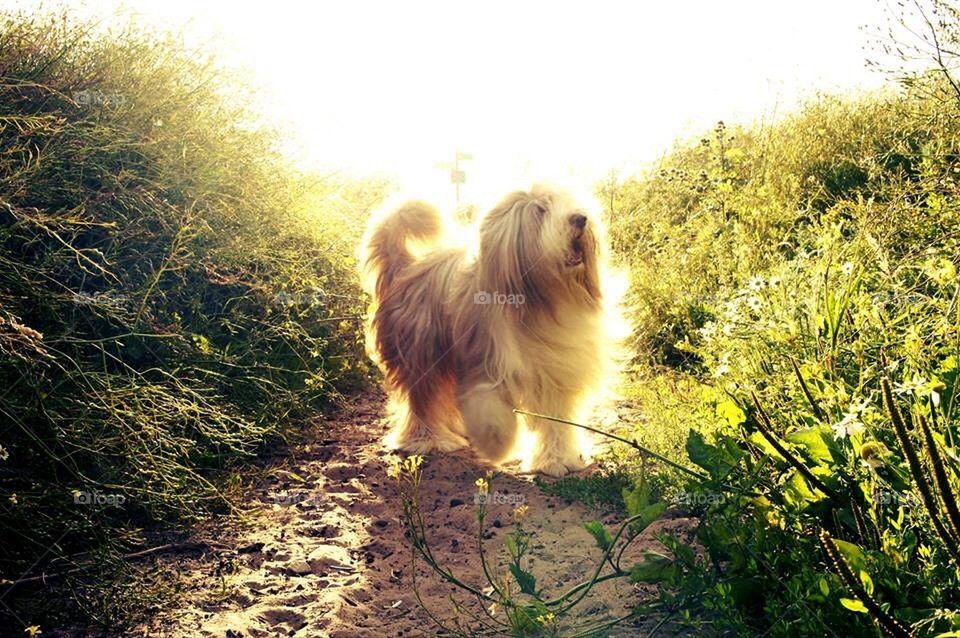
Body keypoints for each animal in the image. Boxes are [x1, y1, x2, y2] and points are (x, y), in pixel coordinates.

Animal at [360, 185, 624, 476]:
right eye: (540, 210)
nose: (580, 218)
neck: (544, 303)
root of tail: (404, 267)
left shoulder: (555, 371)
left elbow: (556, 420)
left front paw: (557, 459)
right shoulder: (485, 359)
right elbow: (488, 407)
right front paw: (497, 444)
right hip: (422, 354)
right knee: (423, 401)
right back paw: (429, 440)